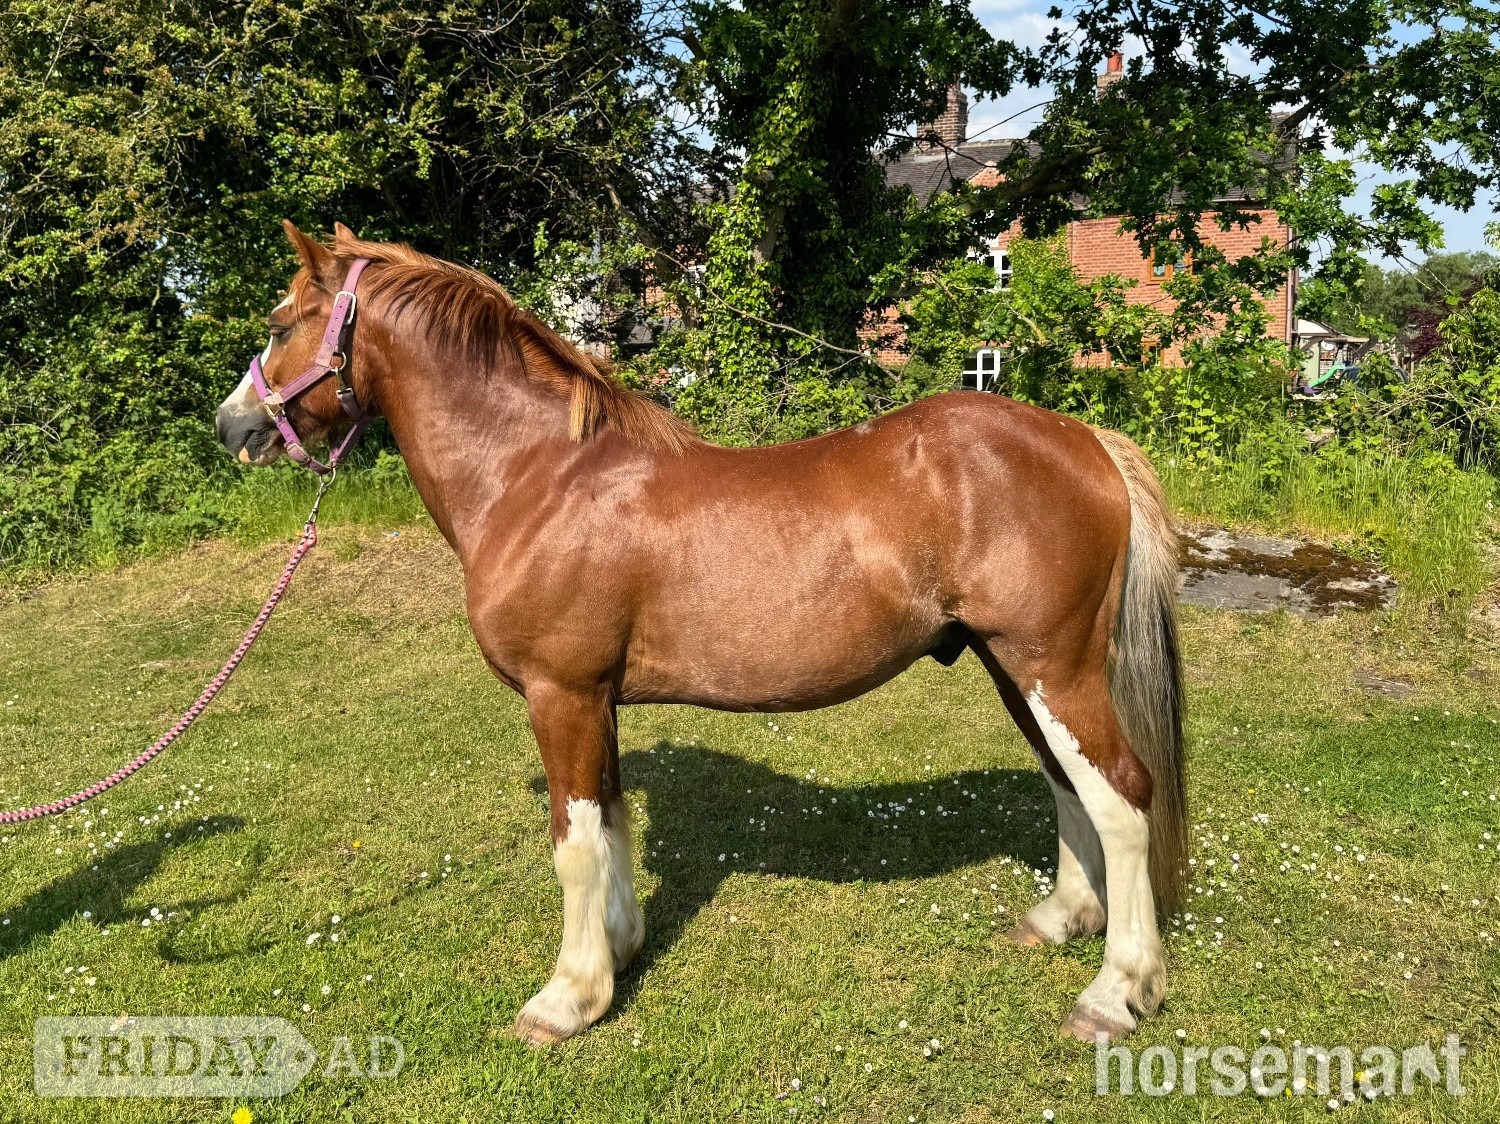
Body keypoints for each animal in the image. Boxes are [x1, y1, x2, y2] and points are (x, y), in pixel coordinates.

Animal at [216, 221, 1187, 1046]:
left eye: (280, 323)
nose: (234, 426)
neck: (539, 474)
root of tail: (1086, 442)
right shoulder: (596, 700)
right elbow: (610, 821)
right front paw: (618, 952)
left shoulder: (560, 693)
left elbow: (574, 845)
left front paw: (566, 999)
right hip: (1012, 665)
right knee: (1068, 786)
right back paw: (1061, 921)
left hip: (1051, 665)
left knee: (1123, 796)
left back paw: (1119, 991)